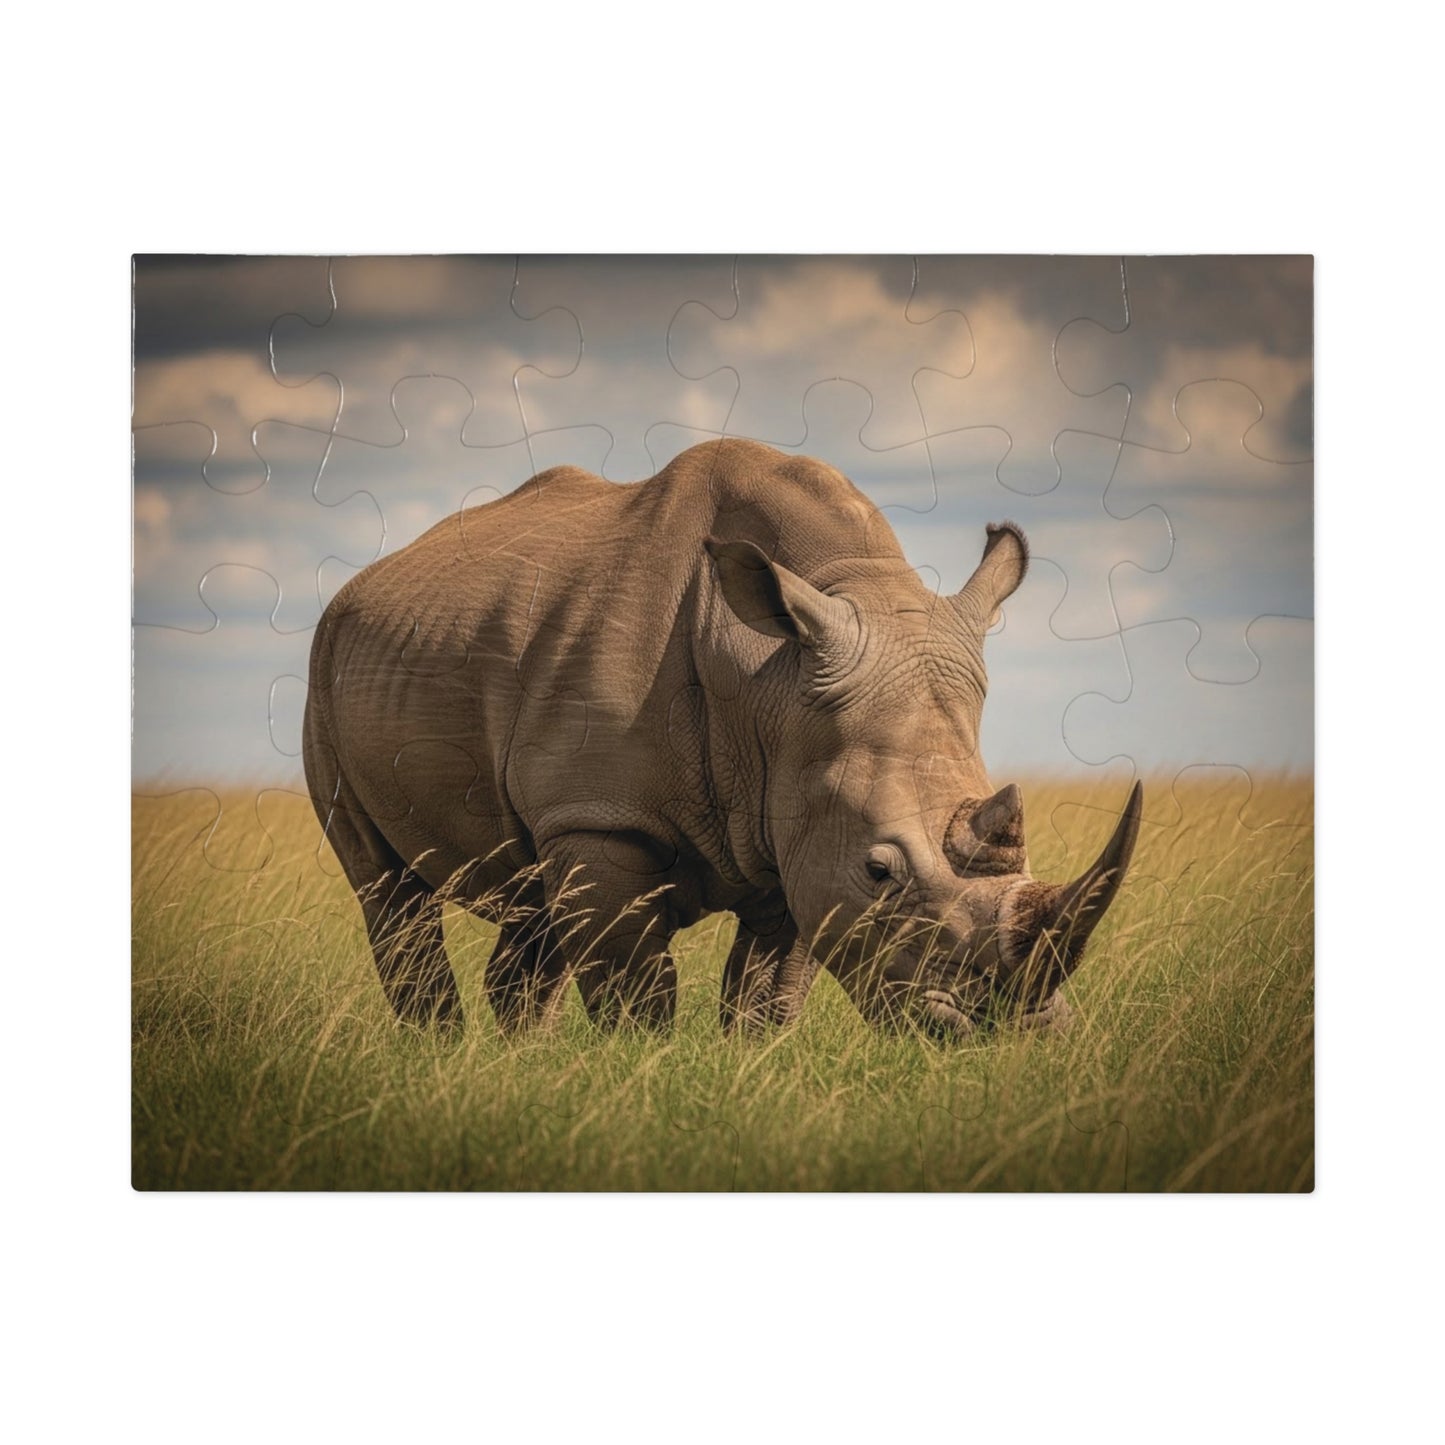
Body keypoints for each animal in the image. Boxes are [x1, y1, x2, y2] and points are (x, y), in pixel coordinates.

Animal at [303, 438, 1140, 1037]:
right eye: (879, 871)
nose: (1017, 1030)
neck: (772, 682)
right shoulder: (602, 817)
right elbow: (635, 993)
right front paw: (639, 1075)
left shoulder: (794, 824)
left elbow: (766, 996)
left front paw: (747, 1070)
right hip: (325, 665)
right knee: (389, 895)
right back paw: (439, 1051)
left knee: (531, 906)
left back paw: (515, 1061)